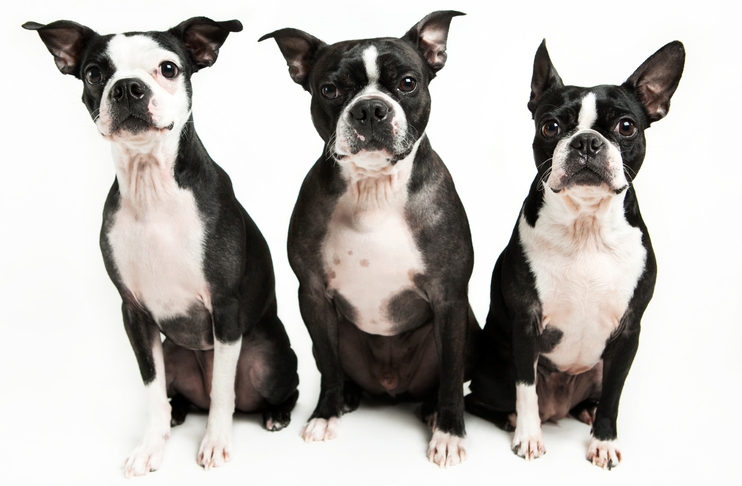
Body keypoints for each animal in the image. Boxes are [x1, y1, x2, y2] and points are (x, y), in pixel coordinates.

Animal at [25, 17, 300, 476]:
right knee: (178, 393)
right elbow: (152, 390)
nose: (127, 87)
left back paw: (275, 414)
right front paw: (151, 446)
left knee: (273, 388)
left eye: (168, 68)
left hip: (269, 359)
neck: (152, 185)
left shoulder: (225, 307)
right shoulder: (134, 314)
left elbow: (223, 392)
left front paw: (215, 443)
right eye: (94, 74)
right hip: (174, 354)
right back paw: (178, 412)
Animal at [262, 10, 482, 468]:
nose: (369, 109)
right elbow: (329, 366)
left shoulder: (450, 298)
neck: (374, 188)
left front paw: (450, 434)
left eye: (408, 83)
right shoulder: (313, 296)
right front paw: (326, 414)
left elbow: (451, 374)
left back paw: (432, 410)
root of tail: (391, 384)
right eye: (329, 89)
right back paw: (348, 397)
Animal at [468, 39, 688, 468]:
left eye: (626, 126)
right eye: (550, 126)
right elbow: (526, 388)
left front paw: (603, 441)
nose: (586, 141)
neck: (587, 227)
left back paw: (586, 411)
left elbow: (615, 396)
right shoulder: (526, 325)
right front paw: (528, 437)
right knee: (485, 400)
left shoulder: (628, 333)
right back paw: (512, 419)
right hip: (497, 367)